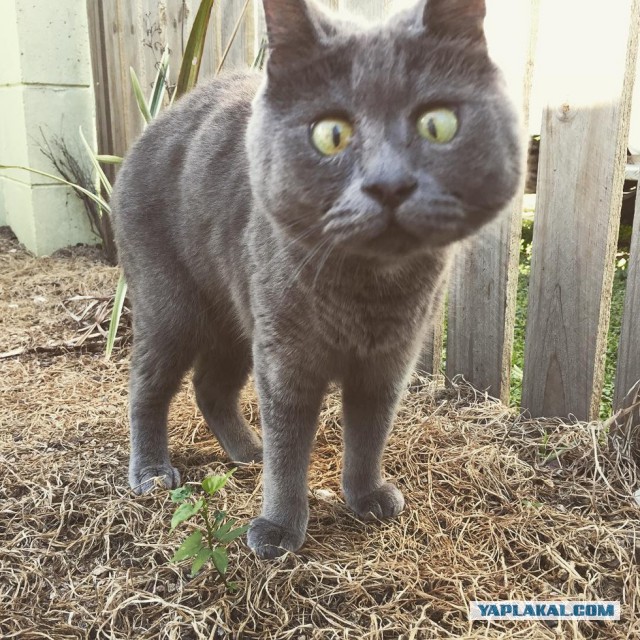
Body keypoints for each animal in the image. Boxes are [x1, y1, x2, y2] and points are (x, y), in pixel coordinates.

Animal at [114, 0, 524, 556]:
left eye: (437, 125)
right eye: (331, 134)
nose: (389, 184)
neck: (369, 293)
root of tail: (157, 121)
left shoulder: (389, 362)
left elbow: (370, 432)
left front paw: (366, 496)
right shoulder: (287, 359)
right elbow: (289, 448)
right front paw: (280, 528)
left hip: (237, 319)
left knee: (210, 387)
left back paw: (247, 450)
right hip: (172, 304)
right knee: (147, 386)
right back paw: (153, 471)